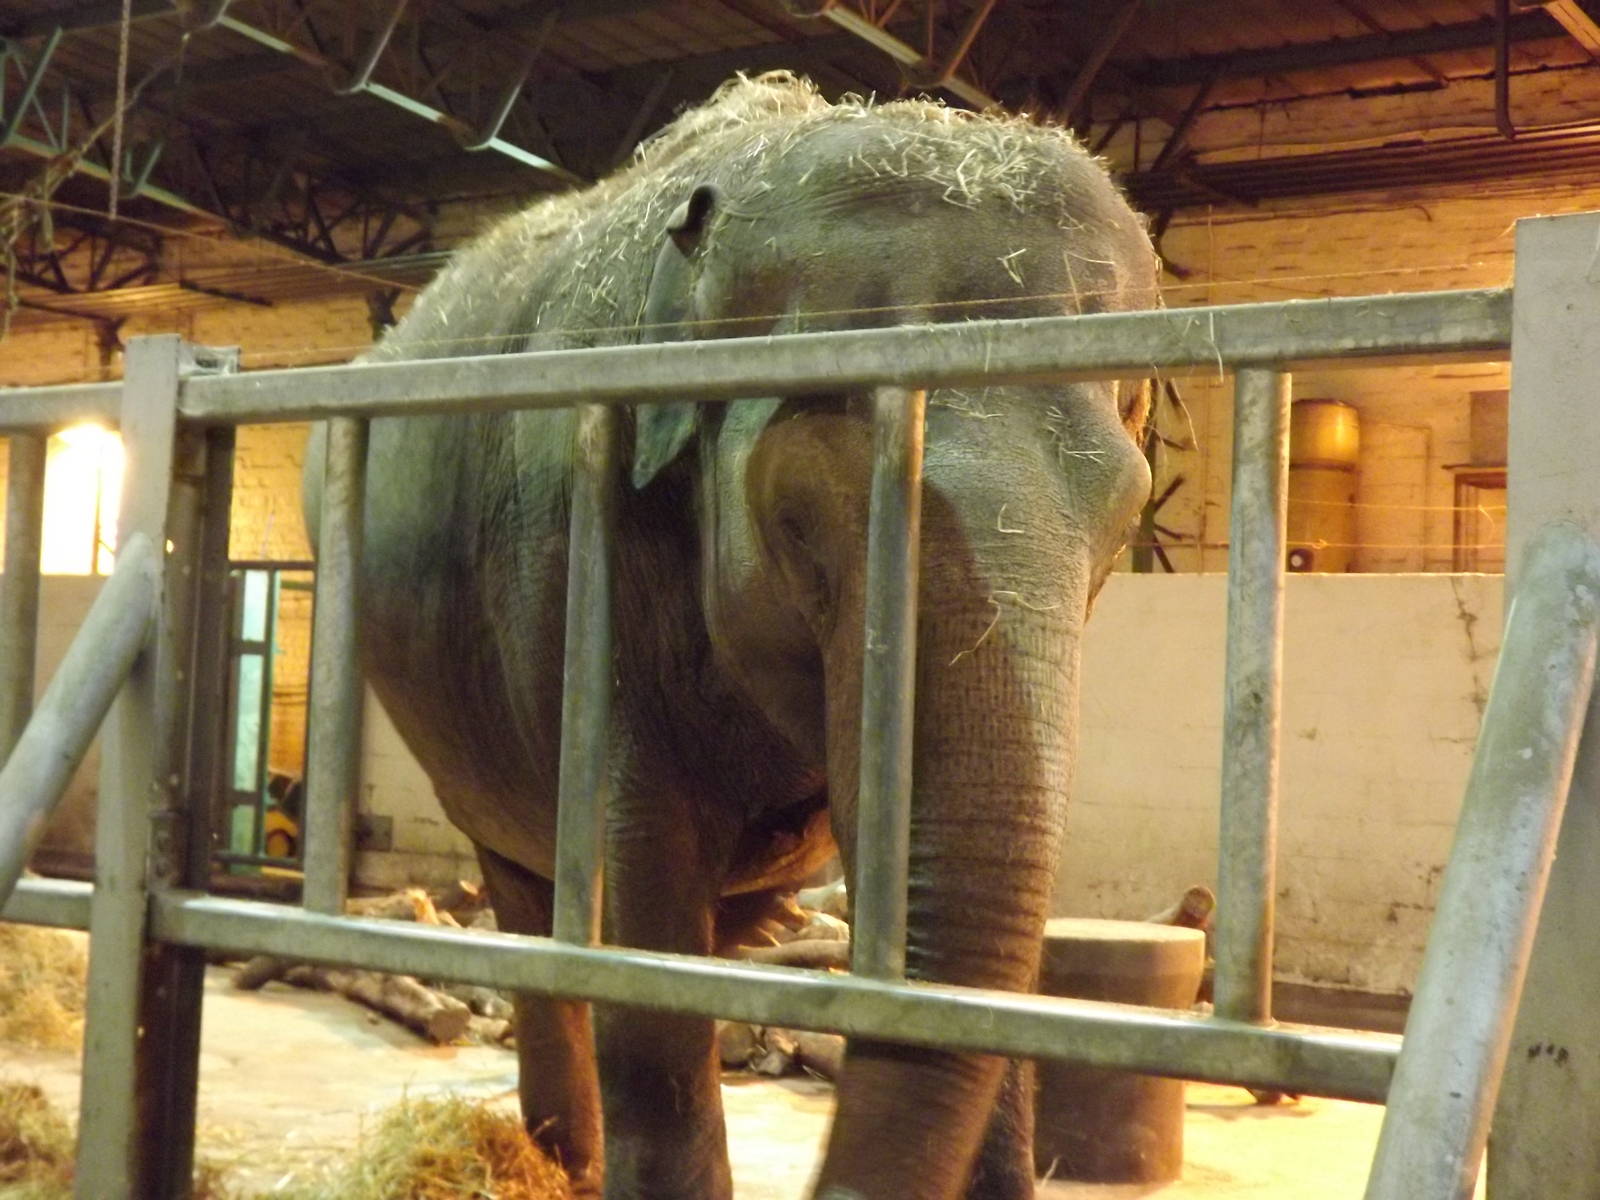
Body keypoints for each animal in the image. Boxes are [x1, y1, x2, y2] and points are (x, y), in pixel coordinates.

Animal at [304, 72, 1158, 1200]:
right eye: (799, 519)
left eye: (1123, 521)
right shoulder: (578, 538)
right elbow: (647, 898)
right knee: (532, 897)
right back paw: (561, 1159)